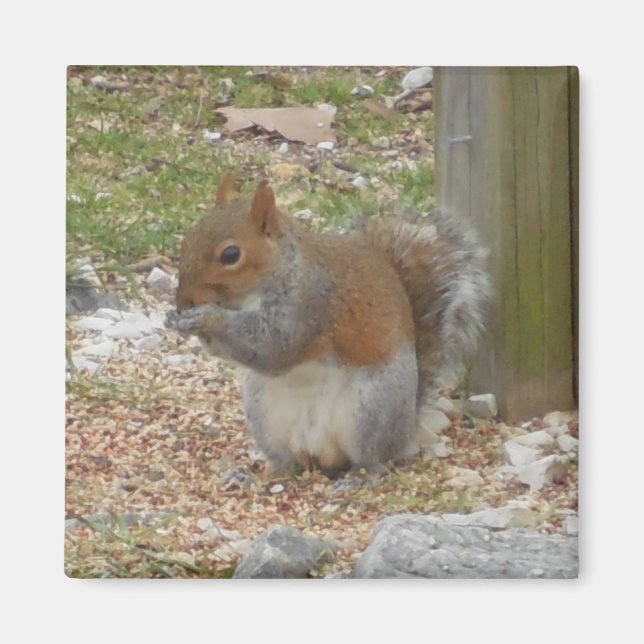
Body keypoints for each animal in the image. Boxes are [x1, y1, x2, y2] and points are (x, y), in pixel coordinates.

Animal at [166, 174, 489, 474]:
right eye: (188, 238)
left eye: (231, 254)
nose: (184, 301)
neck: (279, 270)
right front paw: (177, 319)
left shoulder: (310, 304)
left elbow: (272, 347)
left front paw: (206, 317)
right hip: (264, 416)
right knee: (287, 463)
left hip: (371, 409)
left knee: (375, 457)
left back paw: (362, 476)